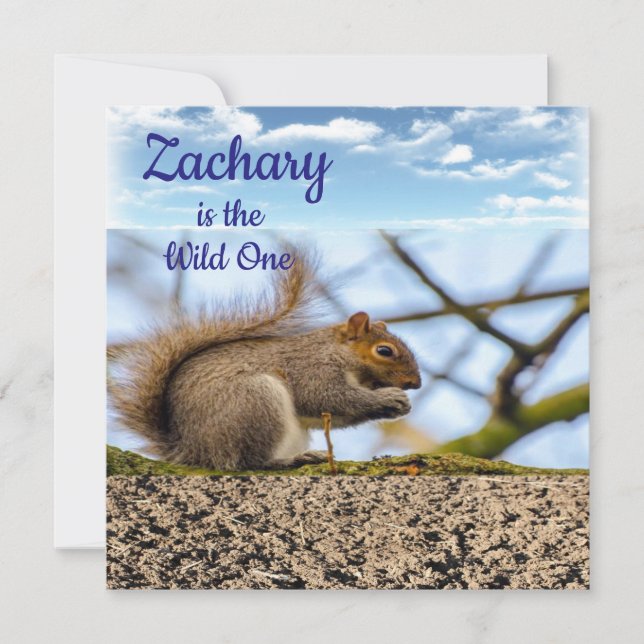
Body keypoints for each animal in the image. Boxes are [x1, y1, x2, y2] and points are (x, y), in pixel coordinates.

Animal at [109, 250, 422, 470]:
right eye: (384, 351)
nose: (415, 383)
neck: (337, 353)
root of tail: (192, 450)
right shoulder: (311, 368)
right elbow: (327, 397)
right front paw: (389, 399)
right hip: (254, 402)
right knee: (247, 462)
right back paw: (291, 460)